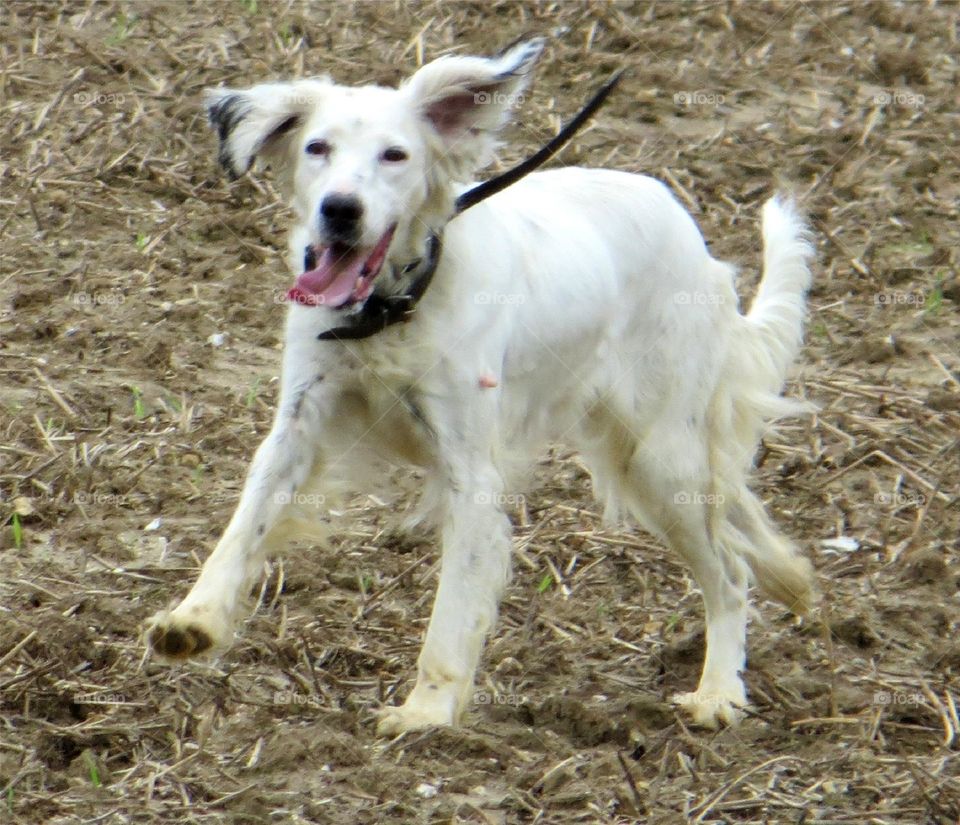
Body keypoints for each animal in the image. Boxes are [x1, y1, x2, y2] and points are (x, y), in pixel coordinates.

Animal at [146, 40, 812, 732]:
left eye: (395, 155)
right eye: (317, 147)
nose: (340, 209)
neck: (390, 311)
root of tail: (690, 233)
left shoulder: (471, 470)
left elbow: (452, 612)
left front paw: (426, 711)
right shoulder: (296, 430)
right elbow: (241, 530)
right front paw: (194, 619)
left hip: (660, 458)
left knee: (730, 573)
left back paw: (718, 694)